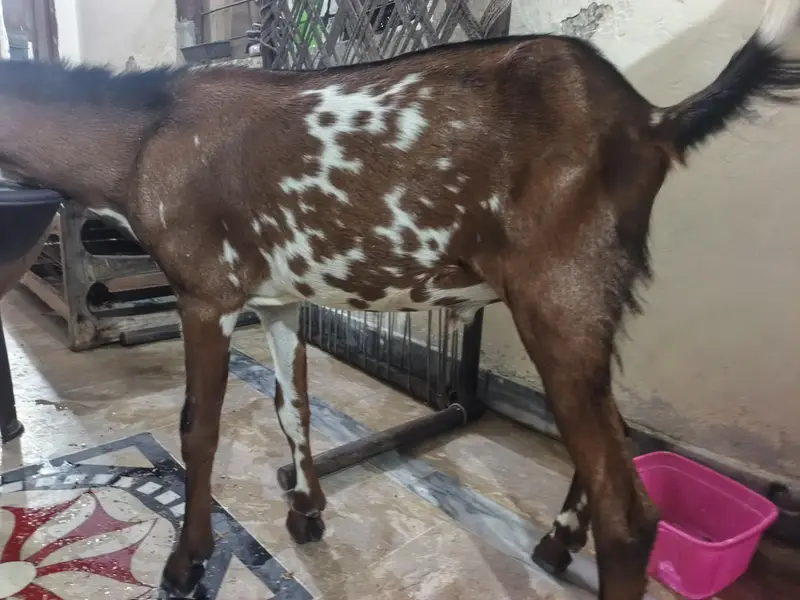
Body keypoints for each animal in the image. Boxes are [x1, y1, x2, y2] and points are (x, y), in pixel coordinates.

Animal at [2, 1, 799, 598]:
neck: (143, 137)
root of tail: (652, 121)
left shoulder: (206, 291)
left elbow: (199, 429)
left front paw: (186, 560)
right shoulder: (281, 298)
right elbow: (292, 405)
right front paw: (306, 513)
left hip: (559, 293)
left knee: (629, 513)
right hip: (604, 294)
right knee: (620, 434)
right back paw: (552, 545)